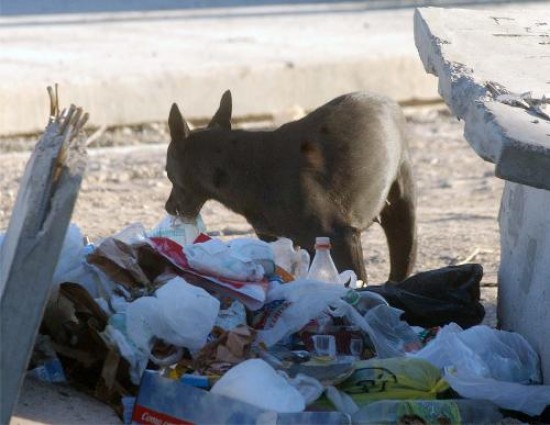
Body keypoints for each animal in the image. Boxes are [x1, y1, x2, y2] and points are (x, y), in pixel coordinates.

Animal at [166, 90, 416, 282]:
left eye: (168, 174)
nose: (168, 207)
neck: (241, 167)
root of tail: (387, 100)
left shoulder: (342, 239)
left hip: (402, 207)